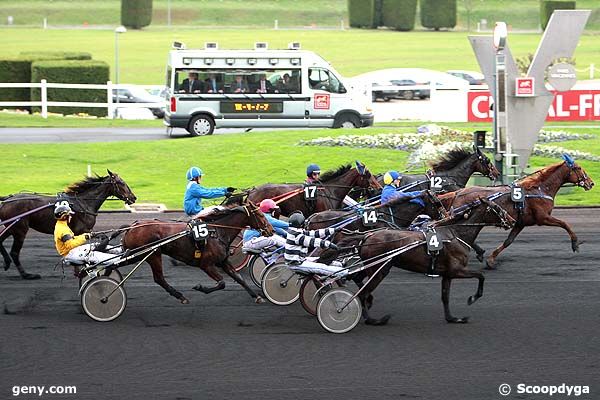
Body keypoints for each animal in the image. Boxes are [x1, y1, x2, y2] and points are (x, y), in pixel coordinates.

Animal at [0, 170, 136, 280]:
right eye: (121, 183)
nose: (133, 197)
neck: (83, 203)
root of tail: (7, 200)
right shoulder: (81, 230)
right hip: (20, 230)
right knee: (14, 252)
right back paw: (26, 274)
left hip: (11, 228)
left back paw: (6, 262)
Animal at [121, 203, 274, 304]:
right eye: (260, 215)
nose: (271, 230)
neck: (216, 232)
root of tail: (133, 226)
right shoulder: (206, 264)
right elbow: (222, 283)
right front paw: (201, 287)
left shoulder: (223, 261)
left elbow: (239, 279)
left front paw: (257, 296)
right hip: (153, 255)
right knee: (159, 278)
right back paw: (181, 296)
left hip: (138, 255)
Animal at [436, 155, 596, 268]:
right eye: (578, 168)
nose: (591, 183)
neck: (540, 189)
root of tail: (457, 193)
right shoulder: (543, 218)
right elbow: (564, 224)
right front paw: (575, 244)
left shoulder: (520, 222)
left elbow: (508, 241)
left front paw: (491, 259)